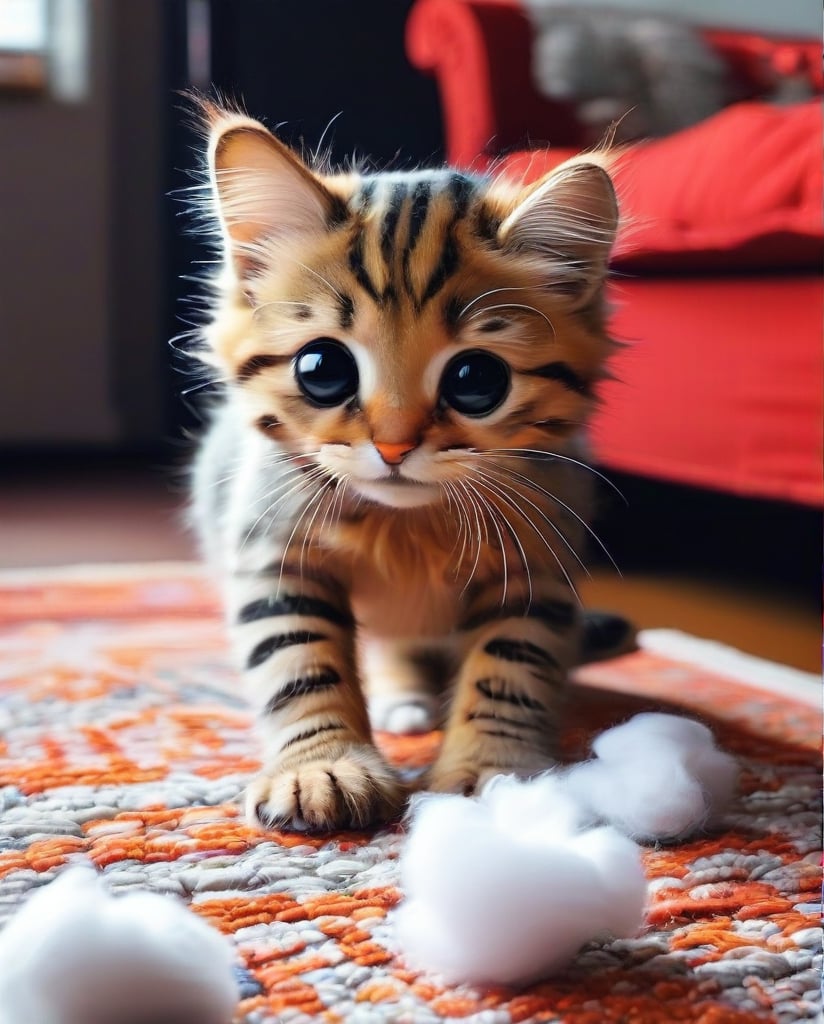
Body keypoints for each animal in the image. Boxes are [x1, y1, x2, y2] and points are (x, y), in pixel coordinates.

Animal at [188, 101, 618, 831]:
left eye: (476, 380)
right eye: (322, 368)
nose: (393, 445)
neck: (408, 527)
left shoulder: (538, 561)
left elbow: (510, 663)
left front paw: (494, 773)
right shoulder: (272, 550)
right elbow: (298, 658)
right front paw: (322, 765)